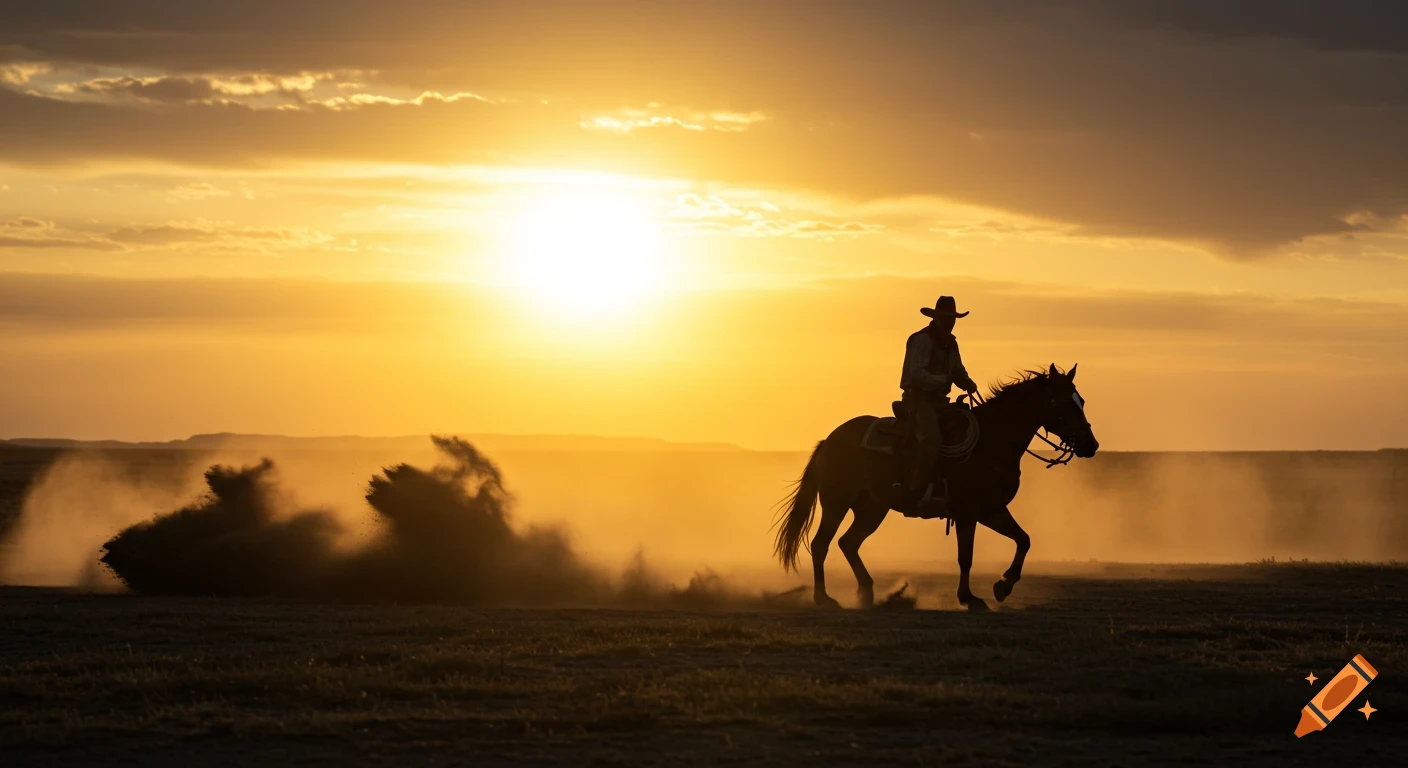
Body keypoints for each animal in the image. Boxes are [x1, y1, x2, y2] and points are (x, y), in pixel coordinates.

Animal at [772, 364, 1099, 611]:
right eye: (1064, 402)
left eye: (1081, 401)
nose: (1091, 445)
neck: (990, 441)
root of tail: (829, 440)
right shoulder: (967, 513)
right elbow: (966, 557)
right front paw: (969, 598)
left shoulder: (991, 510)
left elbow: (1024, 539)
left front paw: (1003, 585)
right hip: (837, 502)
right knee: (821, 544)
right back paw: (824, 598)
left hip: (872, 509)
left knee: (848, 543)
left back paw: (867, 591)